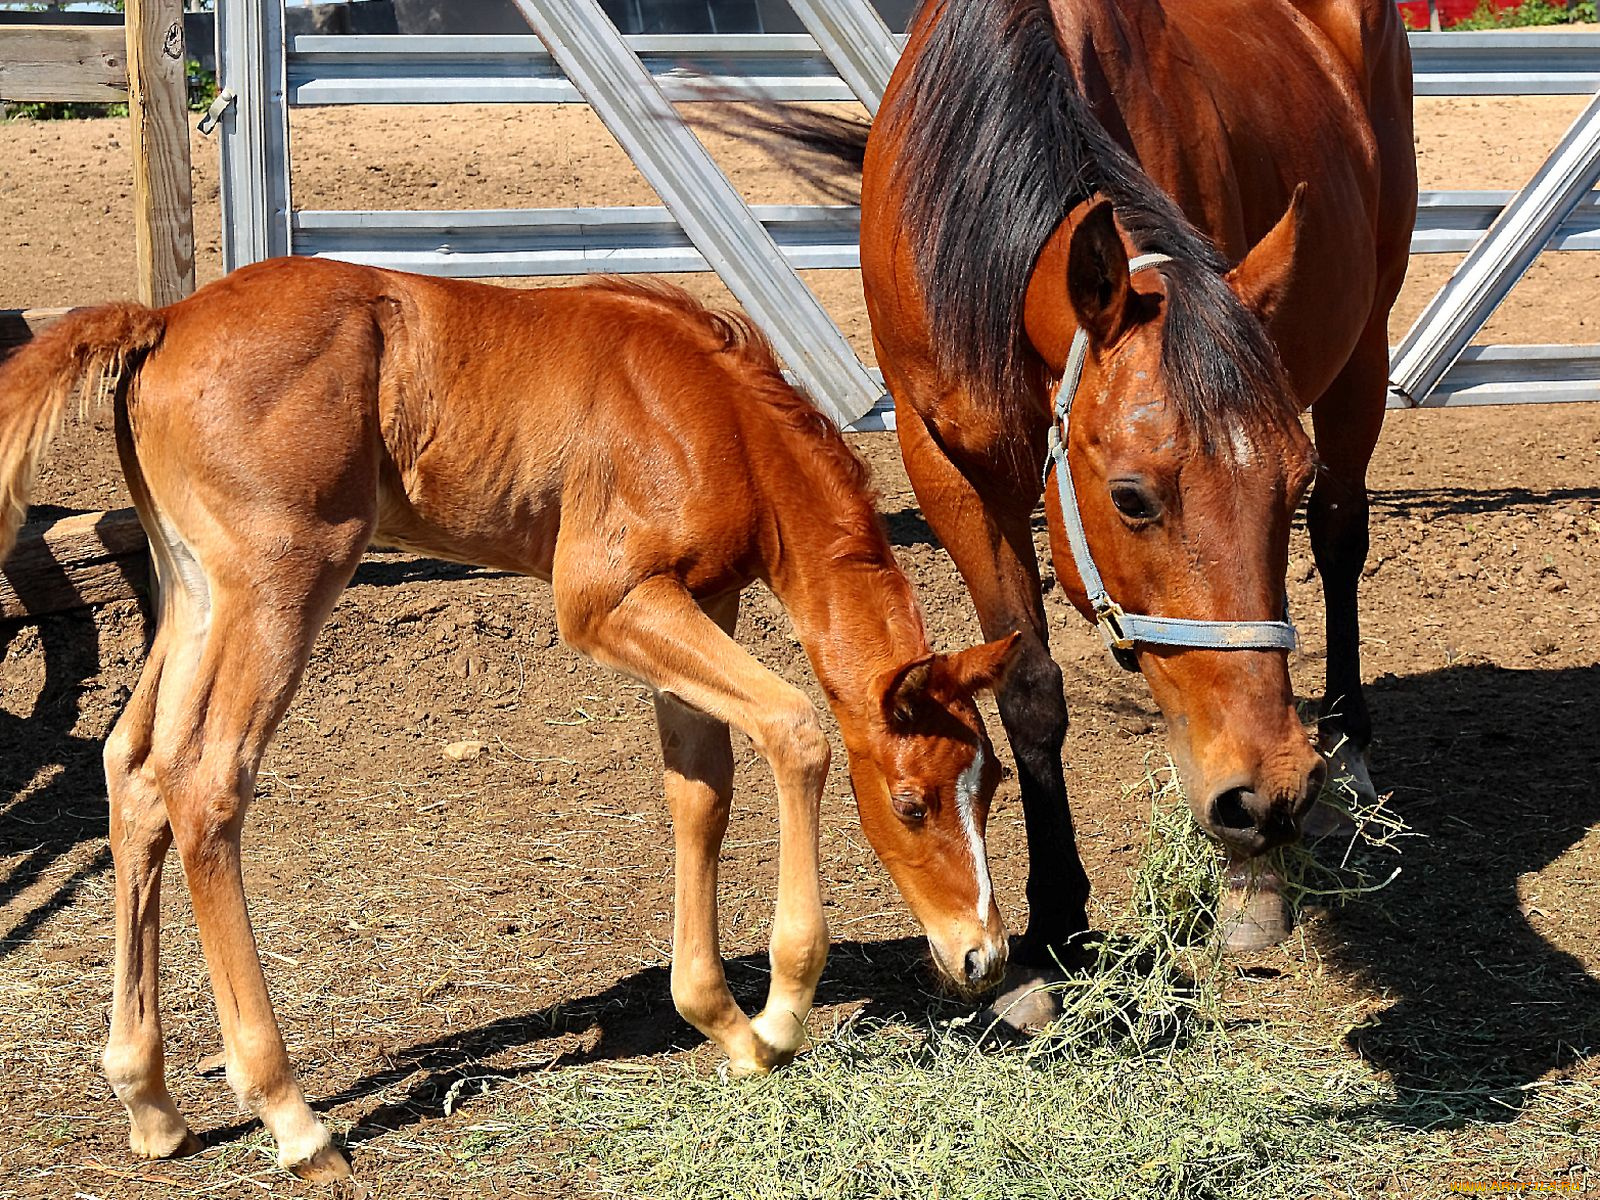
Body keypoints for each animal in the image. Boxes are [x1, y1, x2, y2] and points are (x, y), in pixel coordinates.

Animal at [0, 259, 1017, 1177]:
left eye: (993, 787)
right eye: (913, 803)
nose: (984, 956)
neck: (712, 414)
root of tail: (163, 319)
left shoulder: (699, 599)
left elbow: (700, 791)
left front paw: (725, 1023)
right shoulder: (606, 601)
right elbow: (797, 729)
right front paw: (782, 1009)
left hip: (192, 589)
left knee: (134, 767)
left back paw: (150, 1102)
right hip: (281, 580)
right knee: (206, 781)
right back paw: (293, 1121)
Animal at [787, 0, 1414, 1017]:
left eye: (1286, 482)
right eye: (1130, 498)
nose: (1277, 793)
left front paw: (1254, 889)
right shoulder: (947, 467)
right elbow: (1028, 691)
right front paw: (1053, 928)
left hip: (1368, 338)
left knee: (1342, 538)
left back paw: (1349, 746)